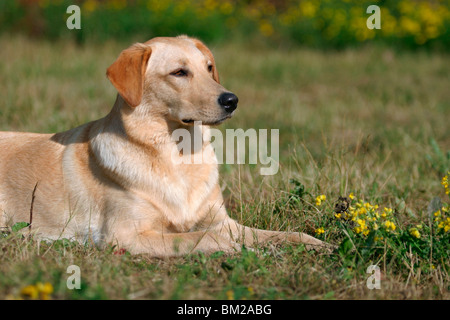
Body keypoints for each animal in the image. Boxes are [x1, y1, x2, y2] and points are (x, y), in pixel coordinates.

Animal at [0, 36, 330, 256]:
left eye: (209, 68)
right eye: (179, 72)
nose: (232, 100)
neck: (178, 155)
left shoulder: (225, 222)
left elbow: (286, 234)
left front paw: (320, 244)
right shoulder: (126, 235)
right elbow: (202, 238)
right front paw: (235, 249)